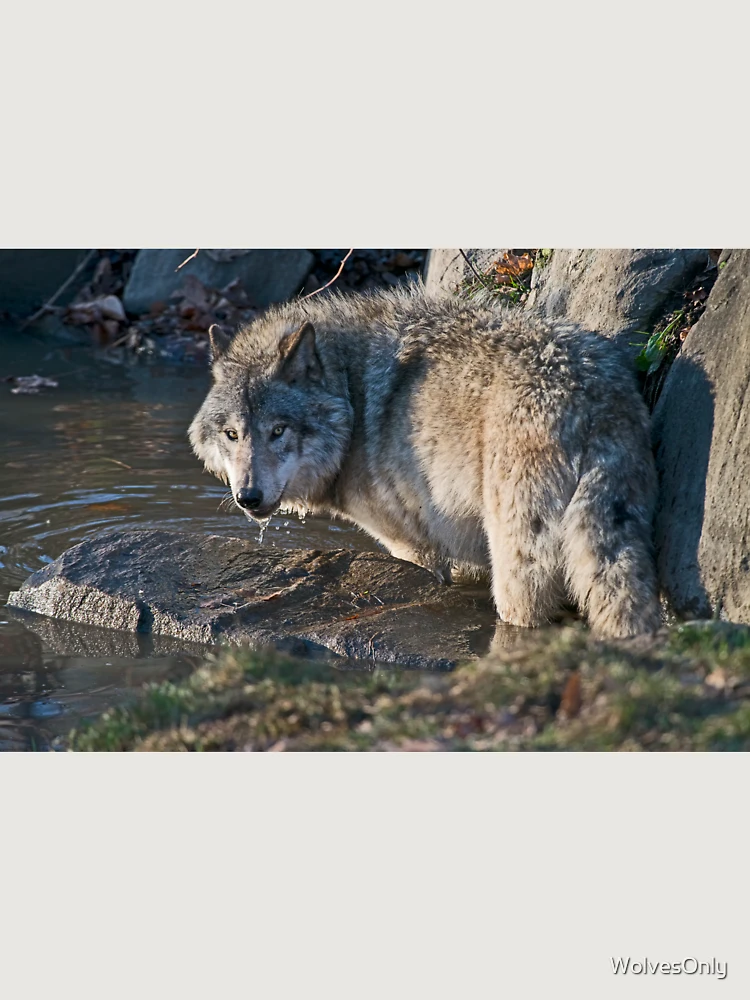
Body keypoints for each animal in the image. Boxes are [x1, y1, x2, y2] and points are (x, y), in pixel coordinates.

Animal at [189, 285, 660, 638]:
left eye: (278, 430)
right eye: (232, 434)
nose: (248, 497)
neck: (351, 392)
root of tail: (587, 395)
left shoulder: (414, 547)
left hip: (516, 570)